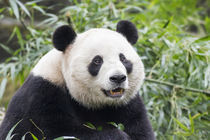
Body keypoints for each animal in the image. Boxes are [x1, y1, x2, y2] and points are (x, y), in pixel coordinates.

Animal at [0, 20, 154, 139]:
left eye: (123, 58)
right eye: (97, 61)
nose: (118, 78)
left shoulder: (127, 104)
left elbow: (140, 129)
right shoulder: (42, 94)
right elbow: (53, 133)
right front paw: (118, 136)